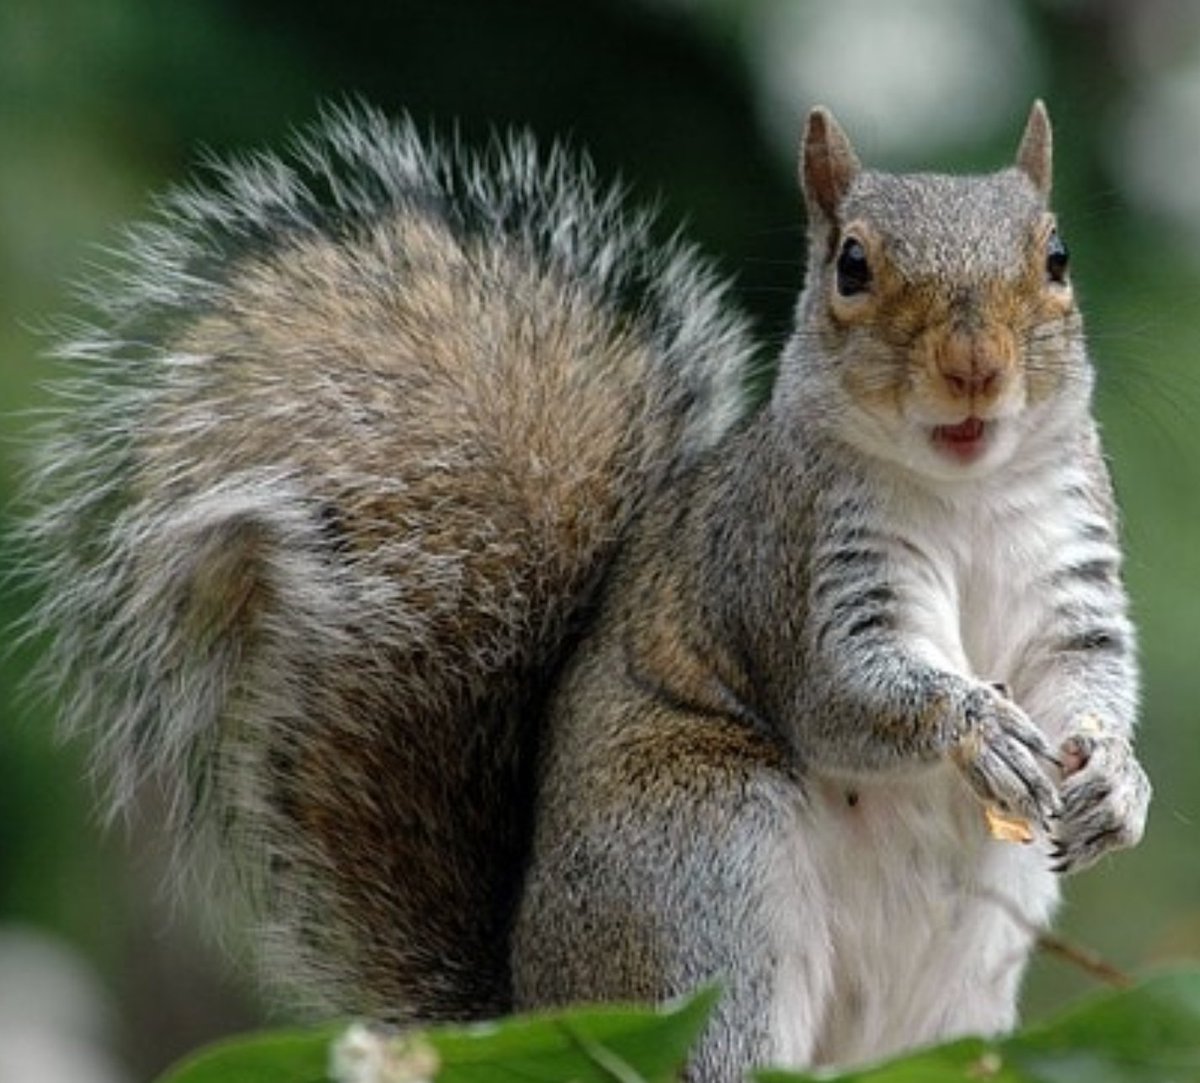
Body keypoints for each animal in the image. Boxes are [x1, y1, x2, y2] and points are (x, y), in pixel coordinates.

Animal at [22, 100, 1152, 1080]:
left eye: (1056, 257)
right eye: (853, 265)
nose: (975, 368)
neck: (966, 493)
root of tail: (537, 1010)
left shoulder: (1072, 577)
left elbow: (1088, 675)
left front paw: (1117, 781)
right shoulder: (787, 564)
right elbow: (845, 695)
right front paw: (980, 727)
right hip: (702, 879)